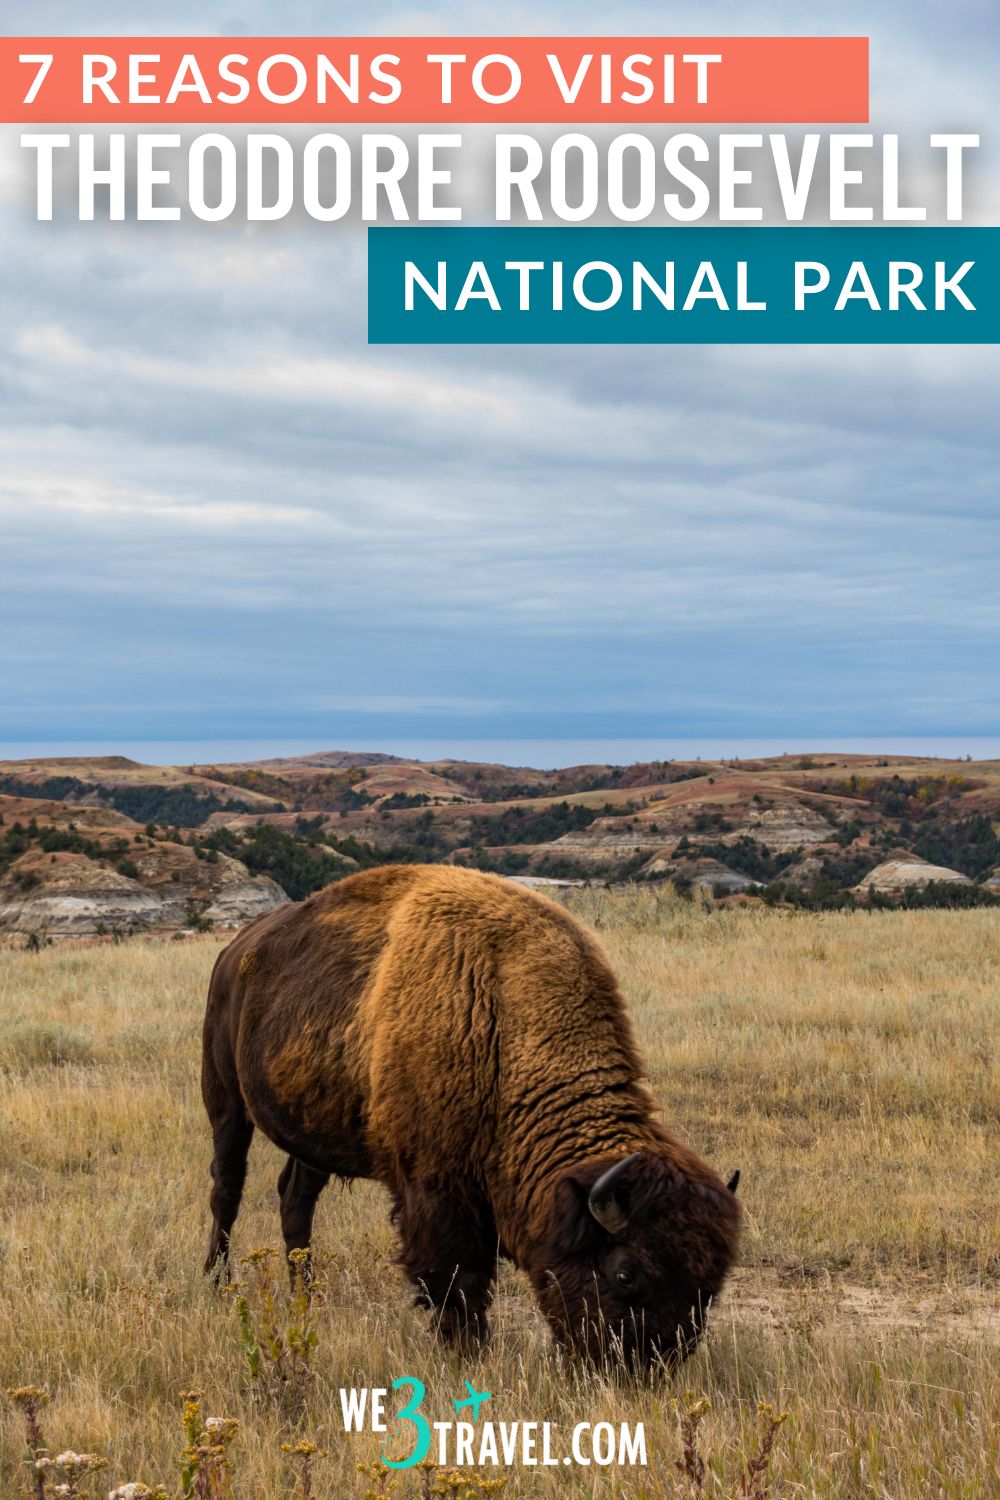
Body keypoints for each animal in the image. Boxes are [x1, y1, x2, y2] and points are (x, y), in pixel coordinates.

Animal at [203, 864, 740, 1368]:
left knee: (295, 1199)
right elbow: (457, 1277)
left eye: (710, 1285)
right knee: (227, 1189)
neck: (502, 1022)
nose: (649, 1364)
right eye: (625, 1273)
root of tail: (233, 952)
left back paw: (305, 1298)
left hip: (312, 1132)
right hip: (225, 1101)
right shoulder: (435, 1190)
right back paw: (216, 1284)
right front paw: (469, 1352)